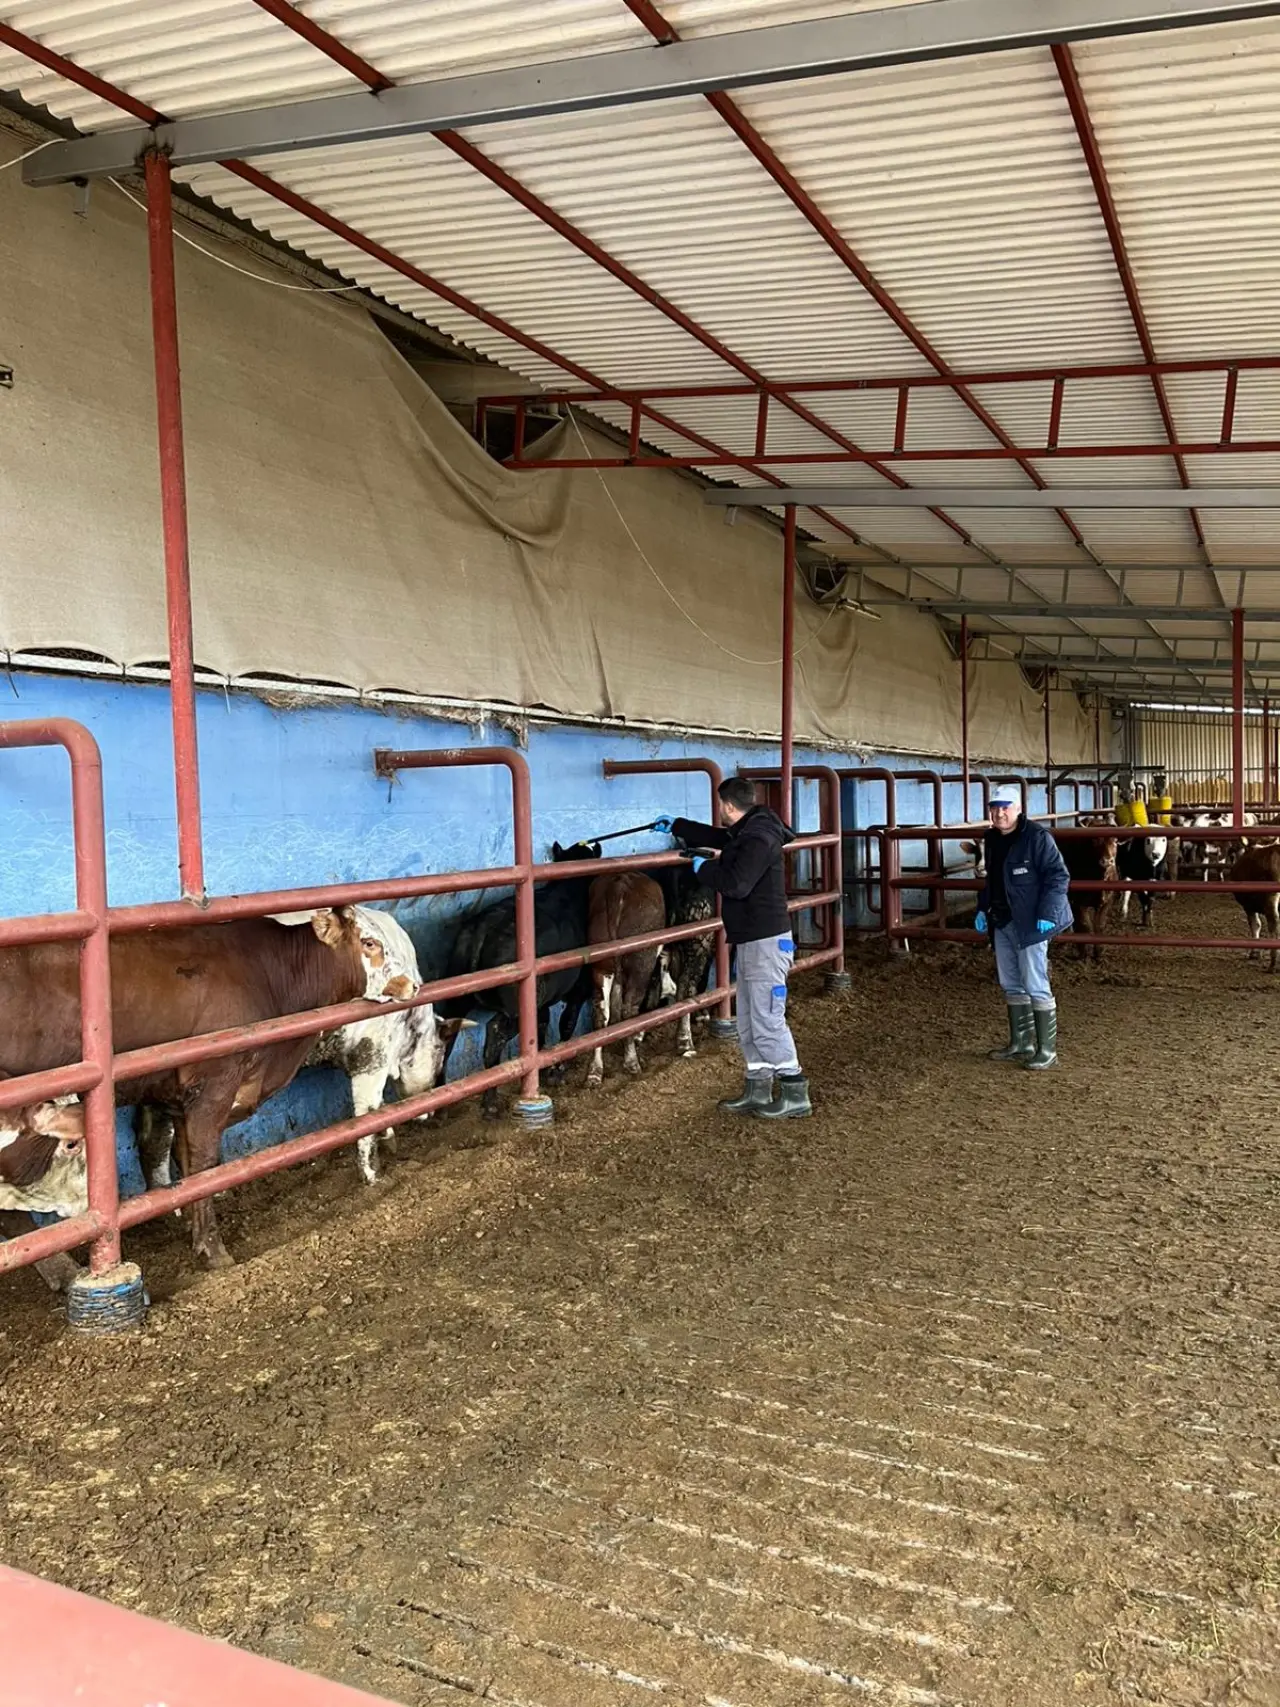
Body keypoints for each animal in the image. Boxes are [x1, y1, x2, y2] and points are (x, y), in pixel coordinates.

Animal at [0, 908, 406, 1270]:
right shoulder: (214, 1086)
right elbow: (203, 1163)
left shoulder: (171, 1093)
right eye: (369, 942)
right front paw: (212, 1249)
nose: (410, 984)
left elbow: (174, 1154)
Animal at [439, 841, 600, 1116]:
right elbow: (566, 1024)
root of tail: (485, 924)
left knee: (446, 1038)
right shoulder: (578, 989)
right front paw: (557, 1071)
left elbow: (543, 1027)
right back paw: (490, 1104)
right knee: (494, 1034)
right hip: (515, 1008)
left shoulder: (543, 1001)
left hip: (457, 998)